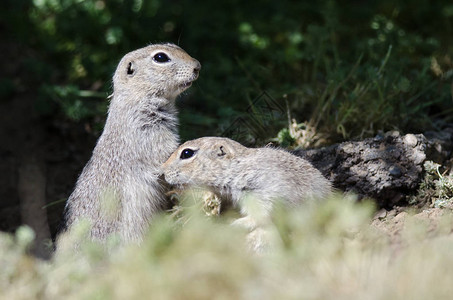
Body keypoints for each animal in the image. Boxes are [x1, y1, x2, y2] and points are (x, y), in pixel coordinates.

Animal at [59, 42, 200, 244]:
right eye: (160, 57)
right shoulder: (148, 136)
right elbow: (167, 157)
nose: (197, 66)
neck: (136, 100)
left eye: (174, 45)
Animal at [161, 137, 330, 250]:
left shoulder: (265, 193)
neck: (233, 170)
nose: (162, 170)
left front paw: (235, 224)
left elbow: (261, 215)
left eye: (187, 153)